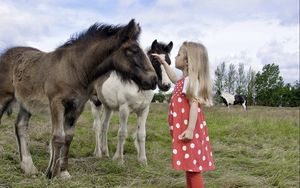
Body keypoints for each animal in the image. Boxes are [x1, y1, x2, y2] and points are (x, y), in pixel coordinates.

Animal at [0, 19, 158, 178]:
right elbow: (58, 137)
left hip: (26, 103)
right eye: (132, 50)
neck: (75, 68)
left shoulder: (77, 107)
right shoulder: (56, 103)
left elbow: (68, 137)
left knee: (20, 126)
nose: (153, 79)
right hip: (4, 97)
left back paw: (28, 167)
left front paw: (63, 172)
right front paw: (51, 174)